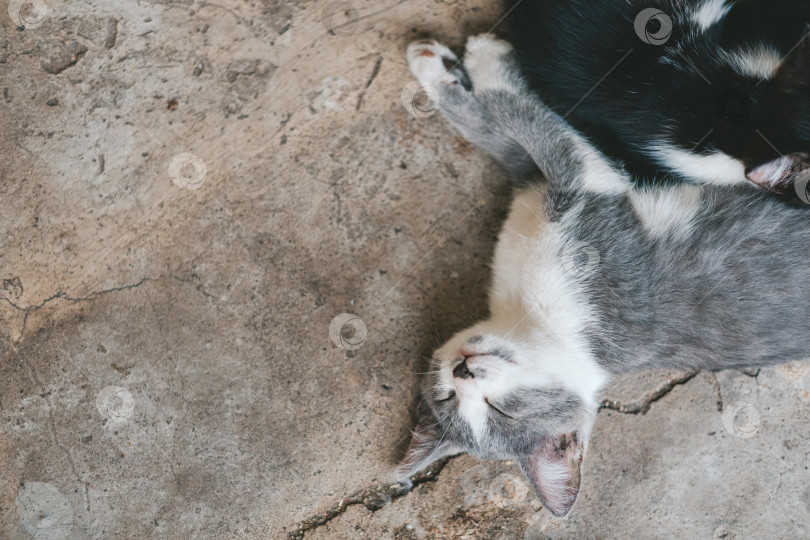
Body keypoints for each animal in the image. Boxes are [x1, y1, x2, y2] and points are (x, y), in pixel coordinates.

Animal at [398, 33, 808, 520]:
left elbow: (516, 130)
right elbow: (519, 134)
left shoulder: (569, 194)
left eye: (503, 410)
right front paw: (462, 68)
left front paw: (462, 67)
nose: (463, 370)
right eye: (450, 398)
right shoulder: (567, 195)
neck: (527, 316)